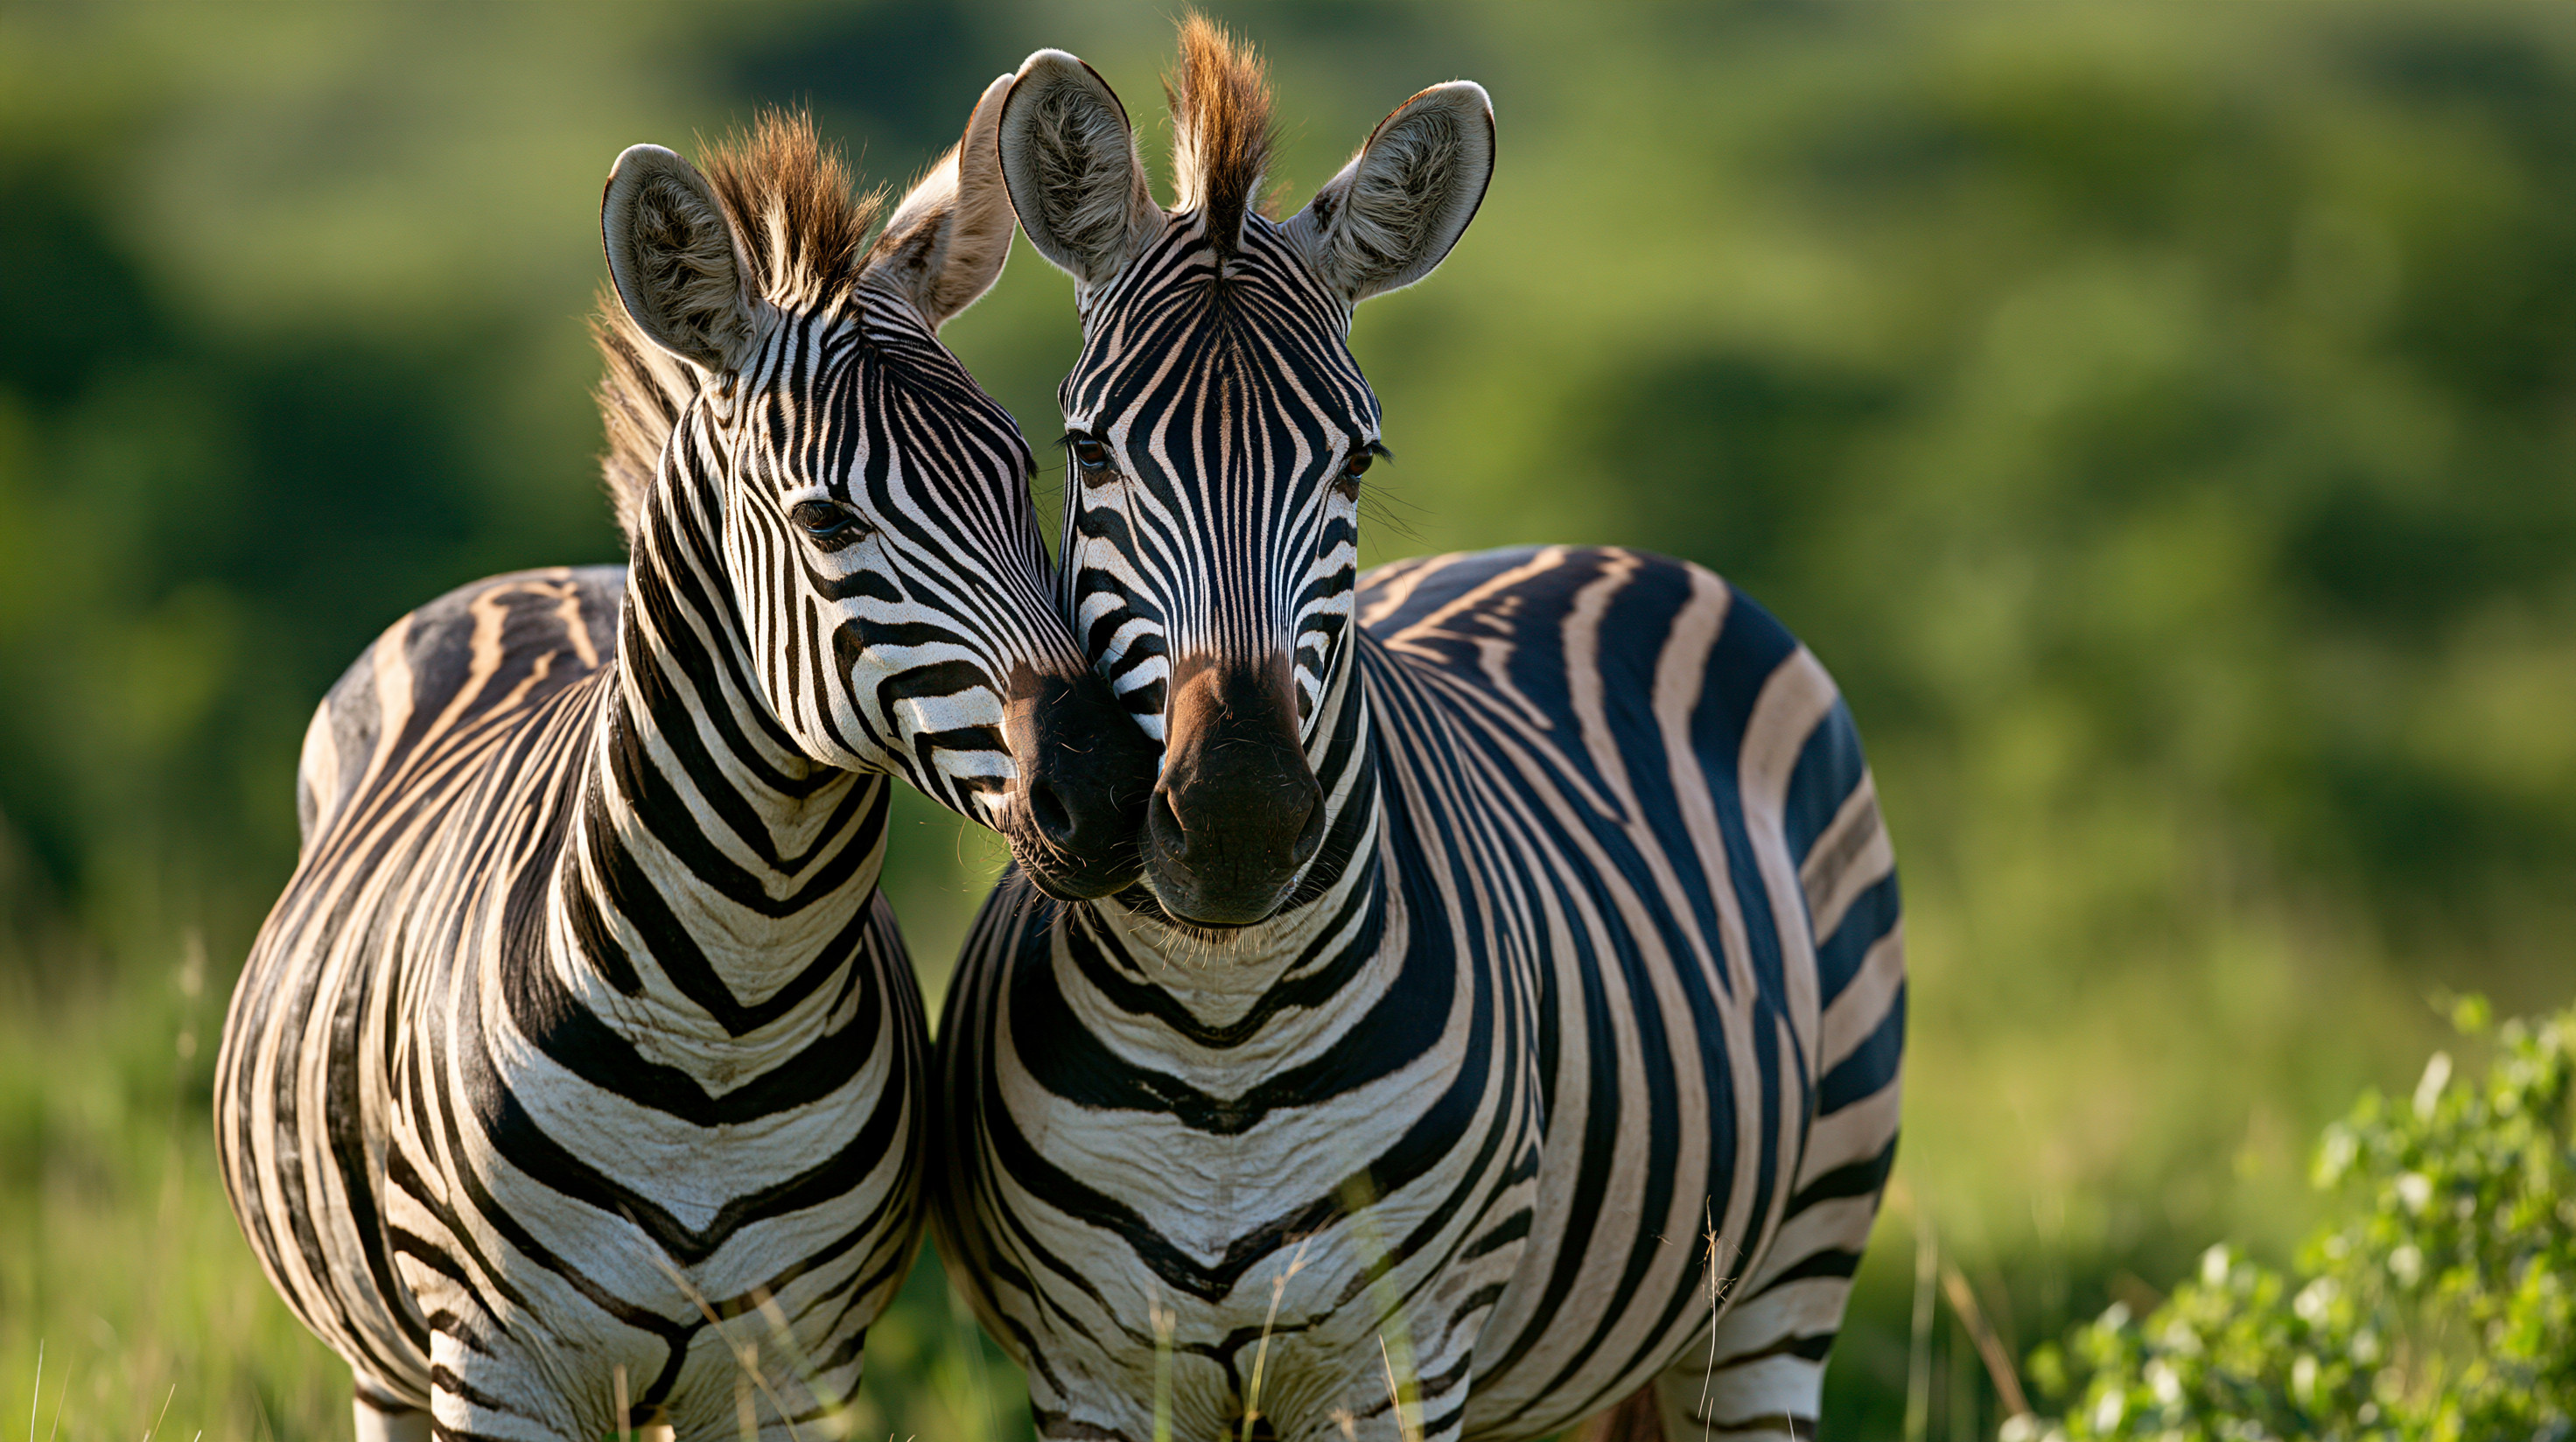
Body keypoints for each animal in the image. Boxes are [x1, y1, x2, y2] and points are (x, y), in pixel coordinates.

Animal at [215, 95, 1159, 1442]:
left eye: (1022, 472)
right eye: (826, 522)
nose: (1115, 790)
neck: (729, 1012)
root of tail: (531, 579)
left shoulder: (792, 1371)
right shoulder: (497, 1372)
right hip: (388, 1364)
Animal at [932, 24, 1905, 1442]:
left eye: (1355, 464)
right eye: (1091, 452)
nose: (1235, 821)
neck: (1218, 1031)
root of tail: (1598, 549)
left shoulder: (1401, 1361)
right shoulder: (1093, 1376)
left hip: (1794, 1265)